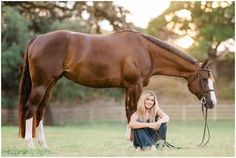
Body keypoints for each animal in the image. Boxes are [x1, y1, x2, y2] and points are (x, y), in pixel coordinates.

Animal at [18, 29, 217, 149]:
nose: (212, 103)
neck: (146, 50)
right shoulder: (134, 85)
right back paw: (30, 145)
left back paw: (44, 146)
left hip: (50, 84)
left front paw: (130, 143)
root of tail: (38, 39)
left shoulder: (127, 87)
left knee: (40, 111)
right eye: (204, 79)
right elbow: (132, 113)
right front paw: (133, 144)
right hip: (41, 84)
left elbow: (129, 113)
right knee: (30, 109)